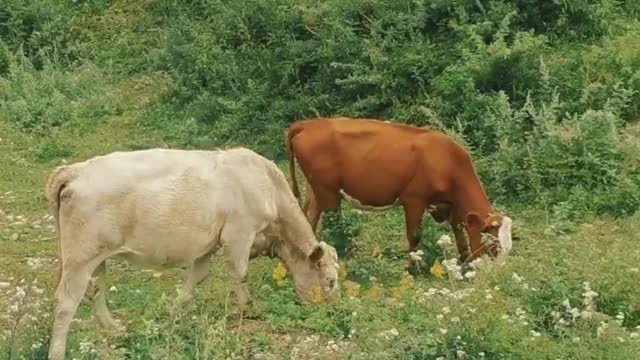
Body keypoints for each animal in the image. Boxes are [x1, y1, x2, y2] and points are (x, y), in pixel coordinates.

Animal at [44, 147, 340, 360]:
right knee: (66, 302)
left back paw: (114, 328)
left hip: (96, 257)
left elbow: (196, 279)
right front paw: (250, 309)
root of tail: (75, 170)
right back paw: (58, 352)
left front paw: (171, 312)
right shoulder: (238, 234)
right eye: (330, 281)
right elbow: (240, 274)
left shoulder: (208, 244)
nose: (334, 309)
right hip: (80, 257)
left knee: (96, 290)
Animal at [284, 117, 510, 262]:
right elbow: (414, 235)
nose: (499, 269)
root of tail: (308, 124)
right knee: (333, 224)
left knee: (309, 217)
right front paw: (414, 267)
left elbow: (459, 230)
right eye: (493, 244)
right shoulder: (414, 200)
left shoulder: (449, 205)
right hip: (328, 193)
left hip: (317, 190)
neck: (447, 160)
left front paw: (464, 260)